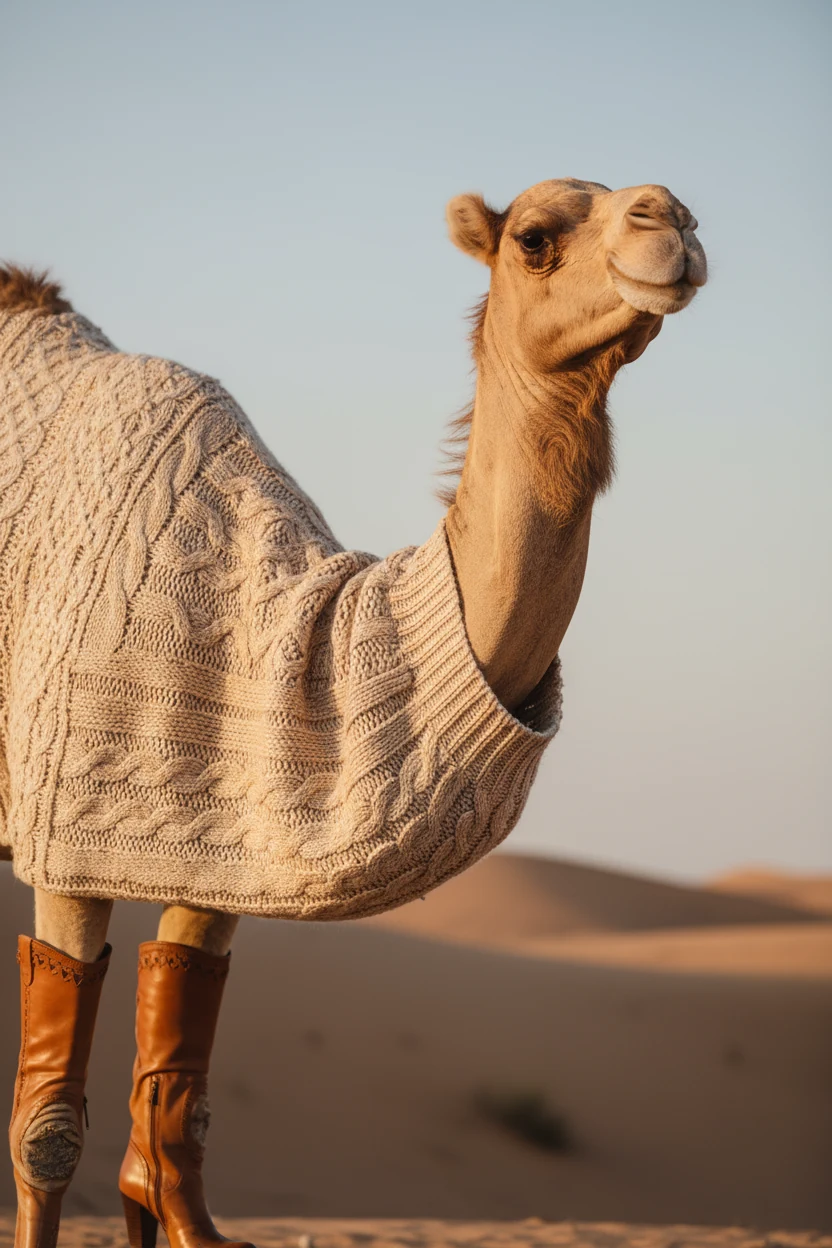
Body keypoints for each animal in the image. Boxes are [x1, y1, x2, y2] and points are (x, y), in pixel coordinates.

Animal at [0, 176, 706, 1248]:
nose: (670, 218)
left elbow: (177, 1098)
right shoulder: (61, 821)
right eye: (536, 236)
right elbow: (46, 1127)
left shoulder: (221, 846)